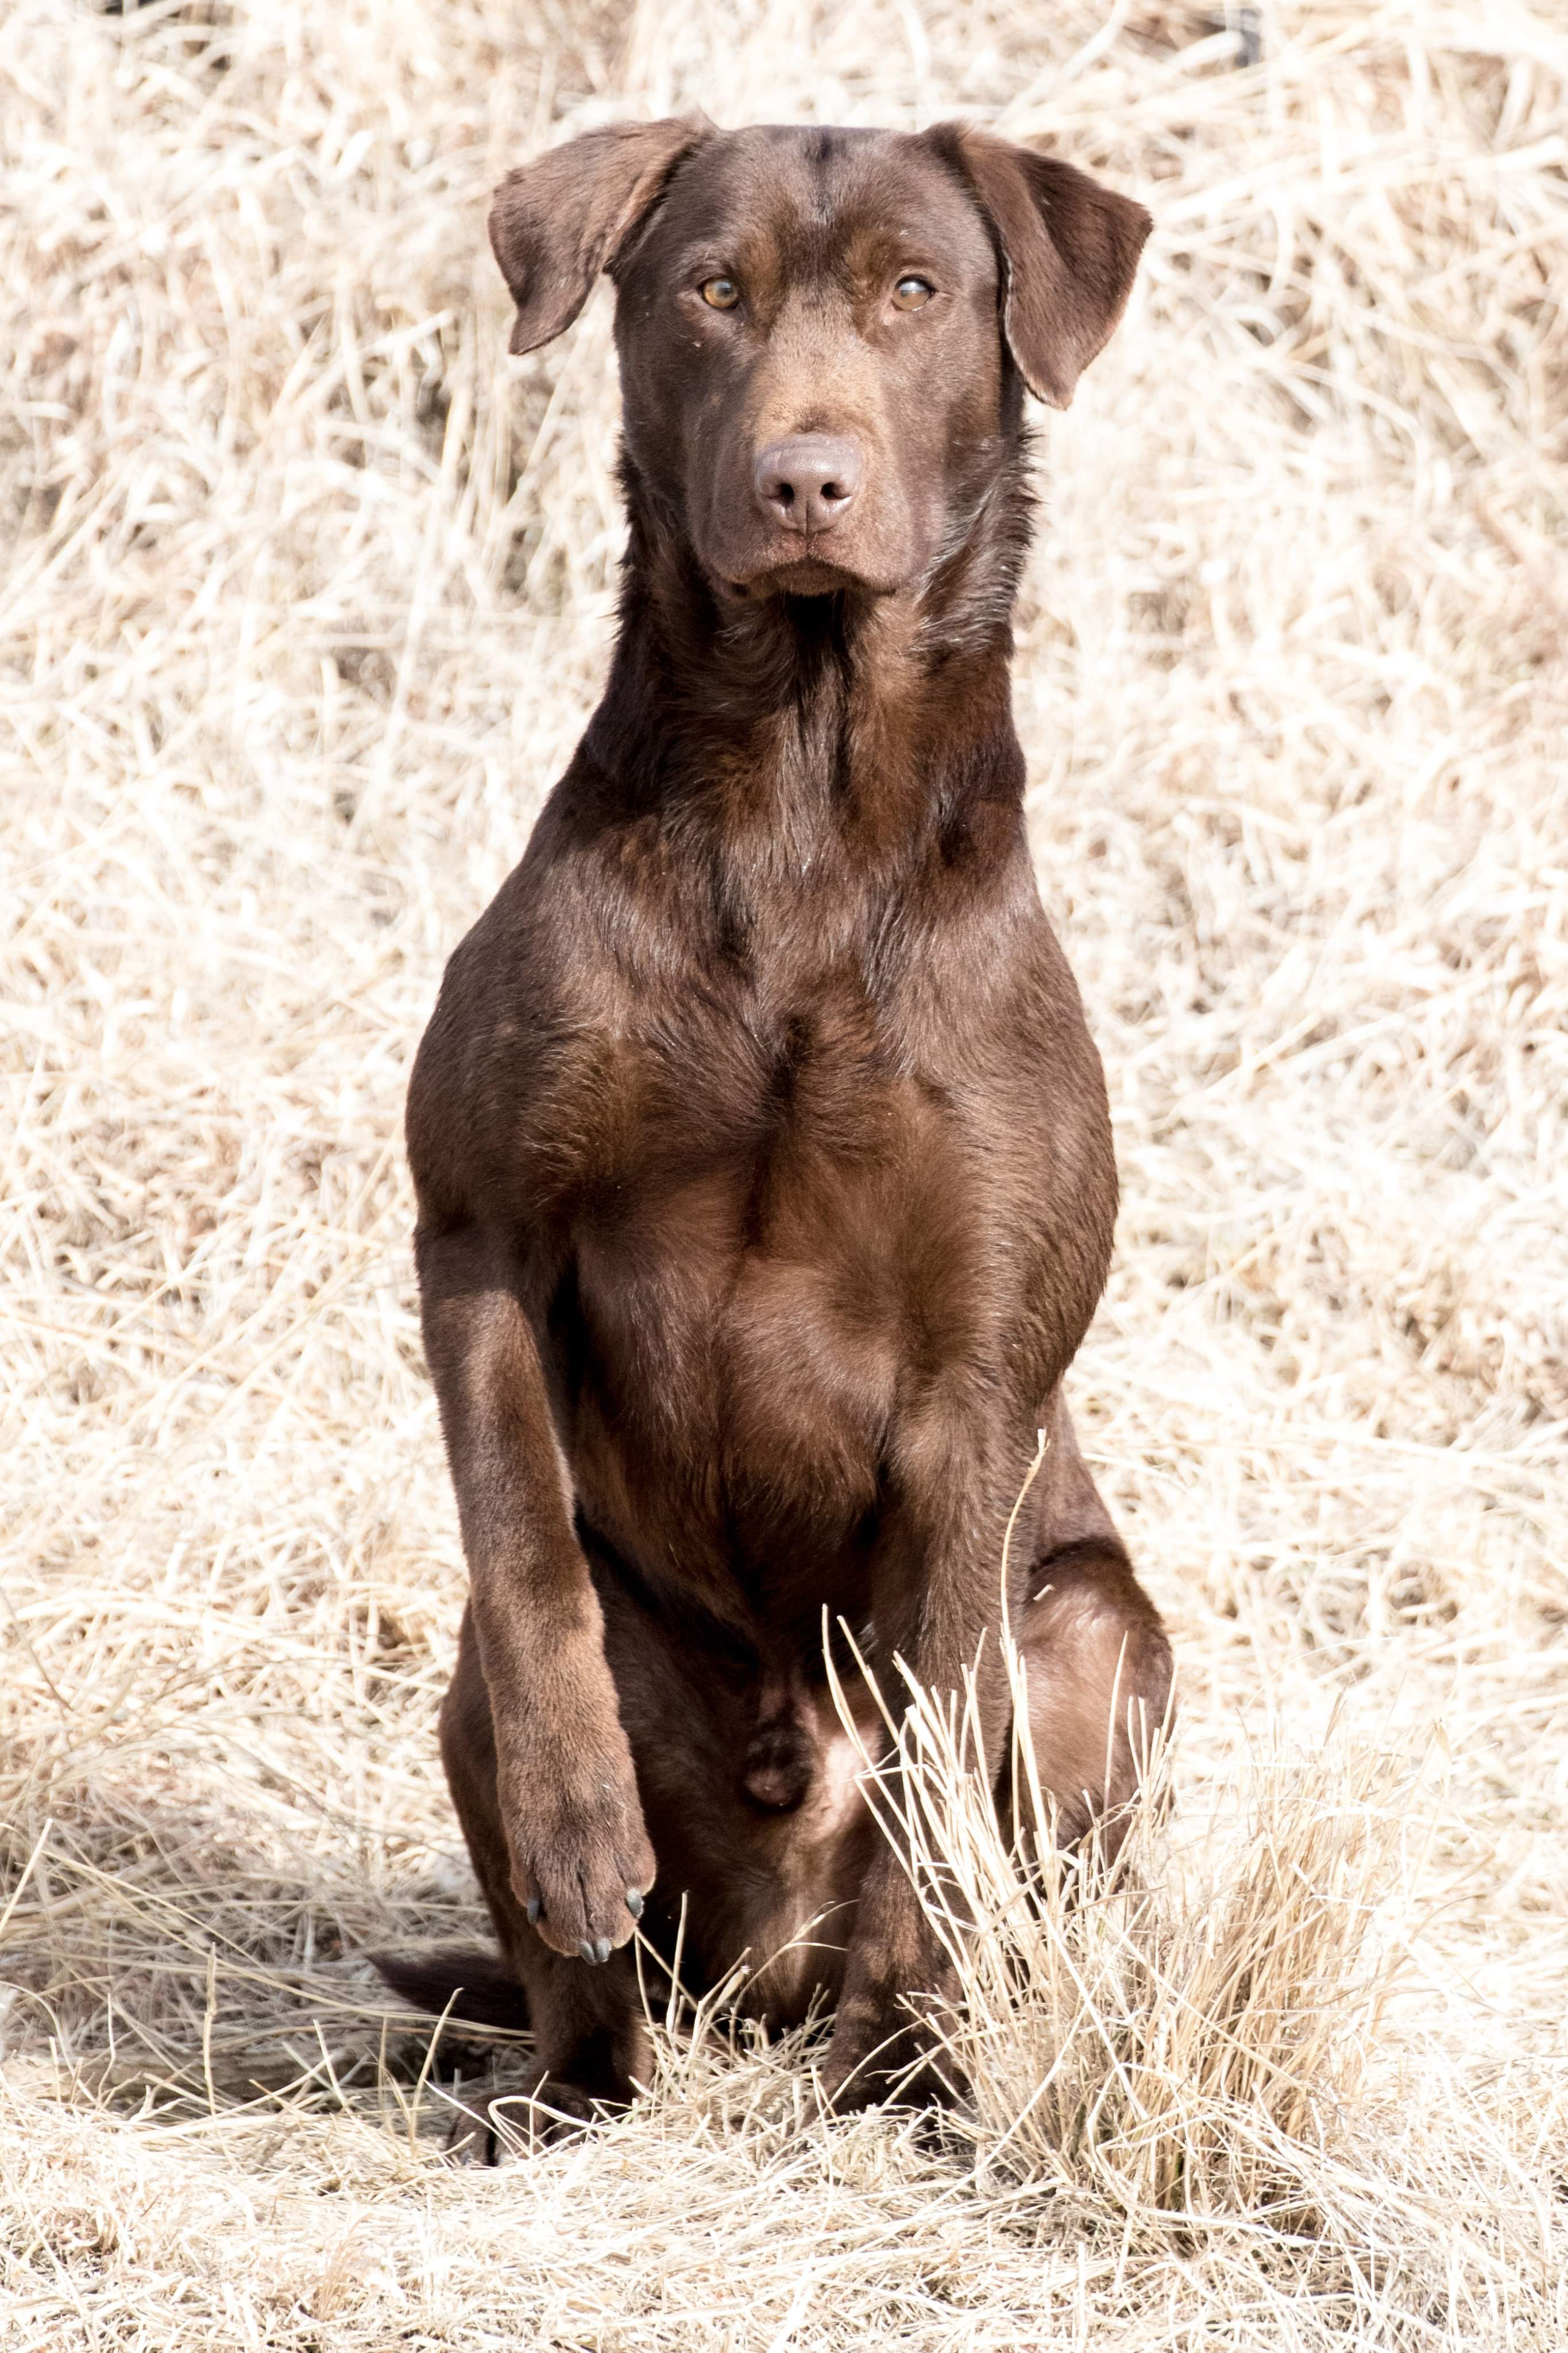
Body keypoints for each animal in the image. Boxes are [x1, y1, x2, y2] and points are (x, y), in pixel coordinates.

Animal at [373, 110, 1171, 2136]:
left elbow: (935, 1715)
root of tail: (764, 1971)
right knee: (579, 1920)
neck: (804, 802)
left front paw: (909, 2019)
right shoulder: (477, 1231)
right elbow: (528, 1554)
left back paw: (928, 2055)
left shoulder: (977, 1383)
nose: (806, 479)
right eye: (708, 292)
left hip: (1106, 1637)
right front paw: (580, 1830)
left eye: (916, 290)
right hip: (498, 1725)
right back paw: (558, 2086)